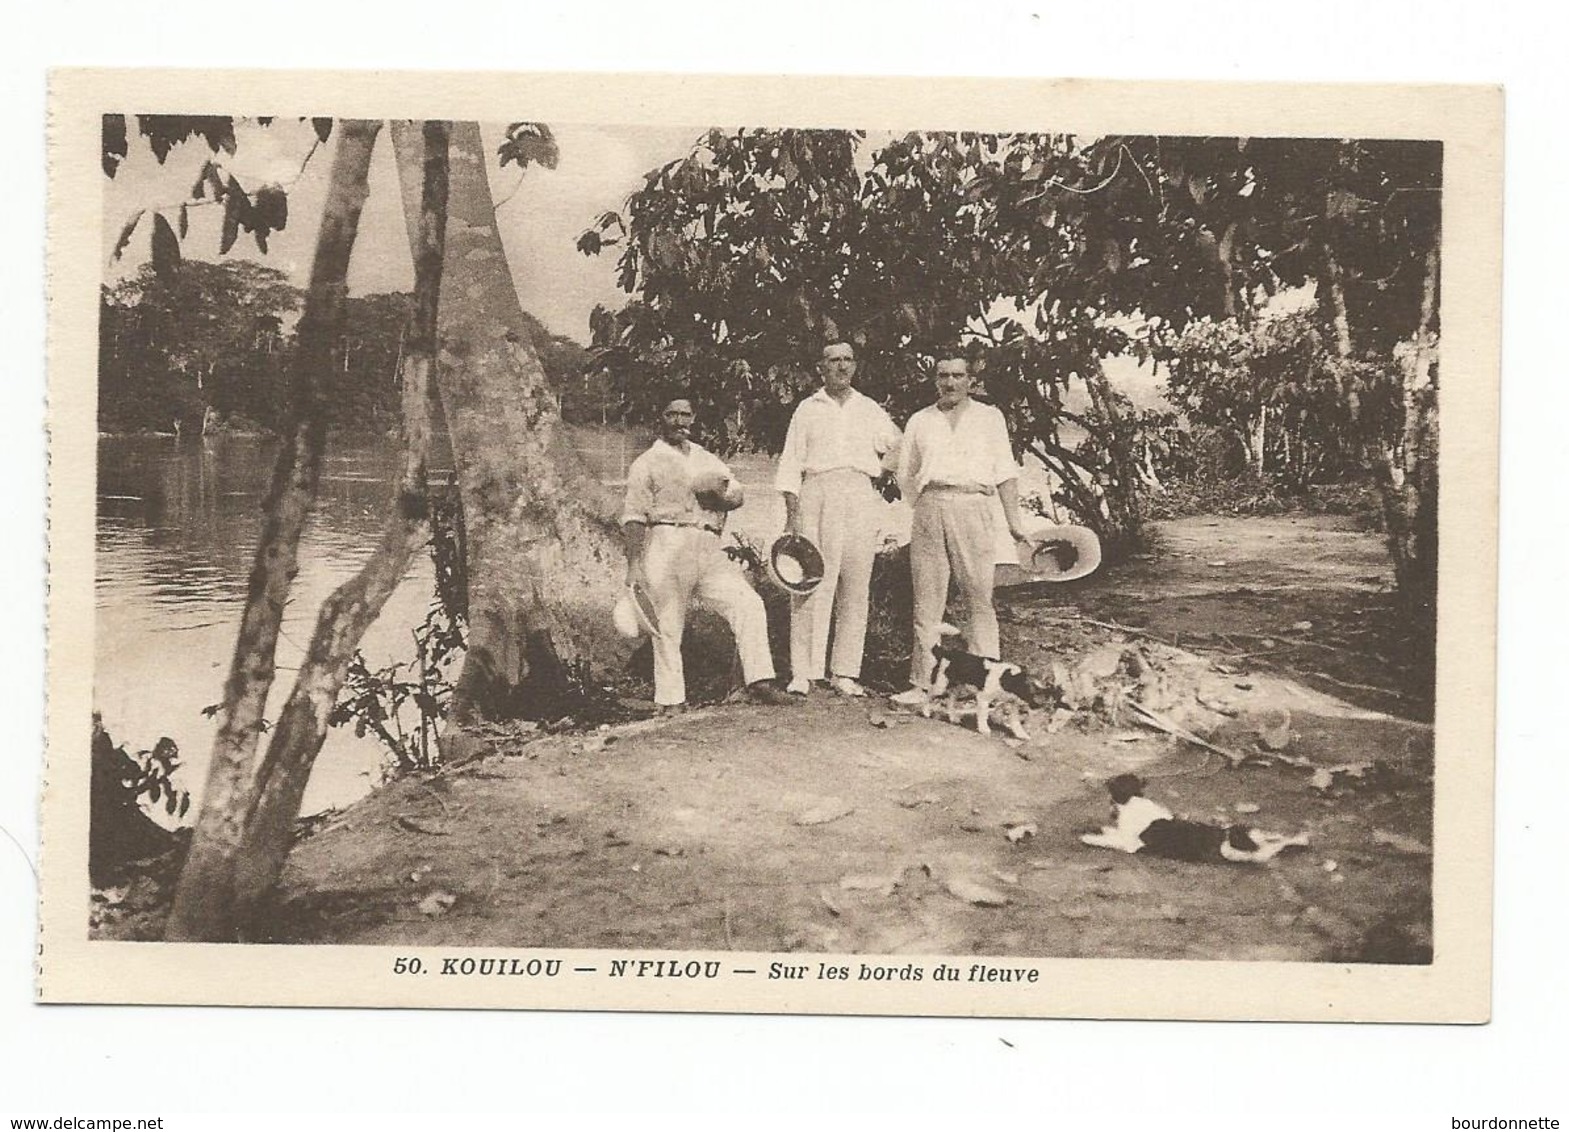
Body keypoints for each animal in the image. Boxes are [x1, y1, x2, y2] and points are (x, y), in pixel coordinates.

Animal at [1079, 772, 1311, 860]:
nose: (1106, 781)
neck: (1133, 800)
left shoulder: (1130, 843)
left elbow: (1108, 839)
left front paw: (1089, 837)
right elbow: (1110, 831)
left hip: (1236, 850)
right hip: (1249, 833)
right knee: (1276, 838)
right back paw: (1299, 838)